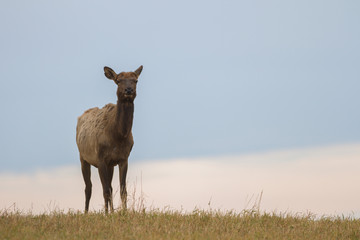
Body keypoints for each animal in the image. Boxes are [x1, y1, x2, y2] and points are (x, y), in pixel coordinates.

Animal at [75, 64, 142, 213]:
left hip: (110, 164)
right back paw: (86, 212)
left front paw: (123, 212)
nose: (129, 90)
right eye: (118, 80)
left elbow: (122, 190)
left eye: (135, 80)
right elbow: (105, 190)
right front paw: (106, 214)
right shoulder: (100, 159)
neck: (118, 136)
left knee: (110, 187)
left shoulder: (123, 158)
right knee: (88, 188)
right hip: (83, 157)